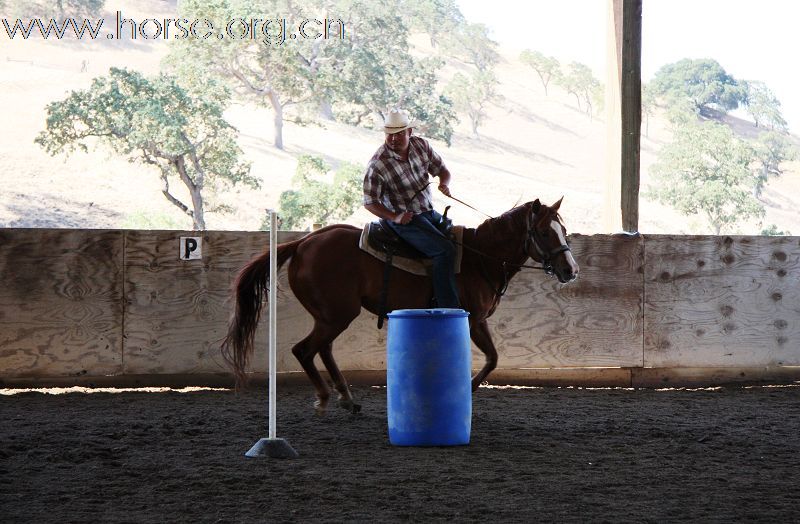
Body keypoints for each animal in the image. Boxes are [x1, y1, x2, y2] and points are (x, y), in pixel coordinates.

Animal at [222, 198, 580, 414]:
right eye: (544, 232)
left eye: (563, 229)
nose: (571, 270)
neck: (481, 258)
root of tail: (302, 243)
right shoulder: (474, 320)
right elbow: (492, 358)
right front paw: (467, 391)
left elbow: (491, 358)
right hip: (337, 315)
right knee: (304, 350)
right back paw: (325, 397)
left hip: (329, 316)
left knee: (322, 349)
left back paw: (346, 398)